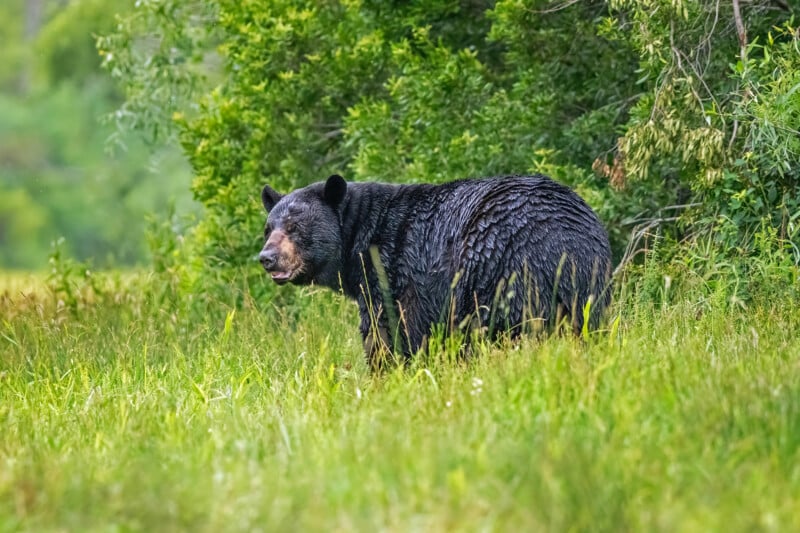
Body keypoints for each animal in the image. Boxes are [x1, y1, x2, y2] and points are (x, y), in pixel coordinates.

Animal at [259, 174, 612, 368]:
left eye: (294, 227)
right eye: (269, 228)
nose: (267, 258)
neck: (361, 245)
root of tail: (564, 246)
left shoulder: (397, 276)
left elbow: (388, 333)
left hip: (500, 269)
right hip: (591, 286)